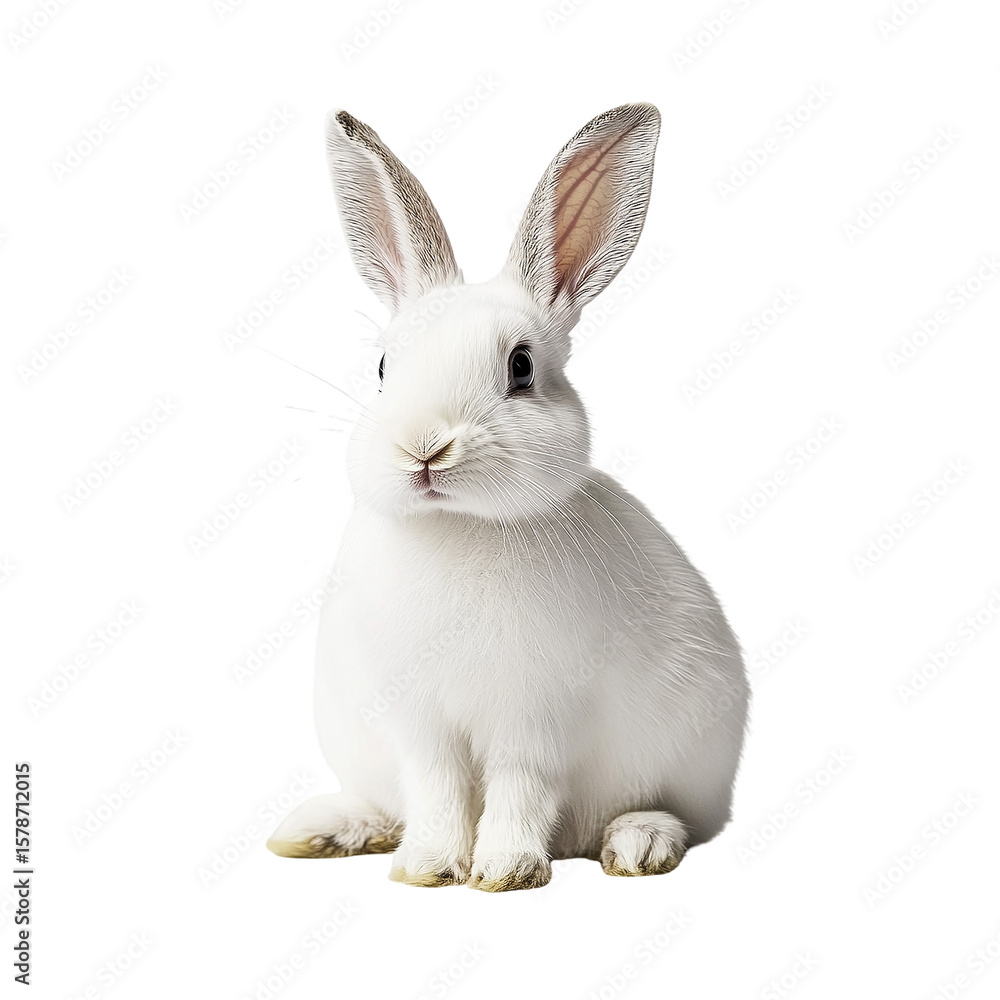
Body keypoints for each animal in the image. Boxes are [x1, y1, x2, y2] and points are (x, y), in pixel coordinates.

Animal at [266, 103, 750, 891]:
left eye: (521, 367)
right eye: (383, 367)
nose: (425, 446)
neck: (457, 526)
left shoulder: (536, 721)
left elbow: (521, 790)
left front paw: (504, 871)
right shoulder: (418, 721)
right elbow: (435, 790)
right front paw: (429, 868)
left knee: (672, 815)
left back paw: (639, 844)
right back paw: (324, 829)